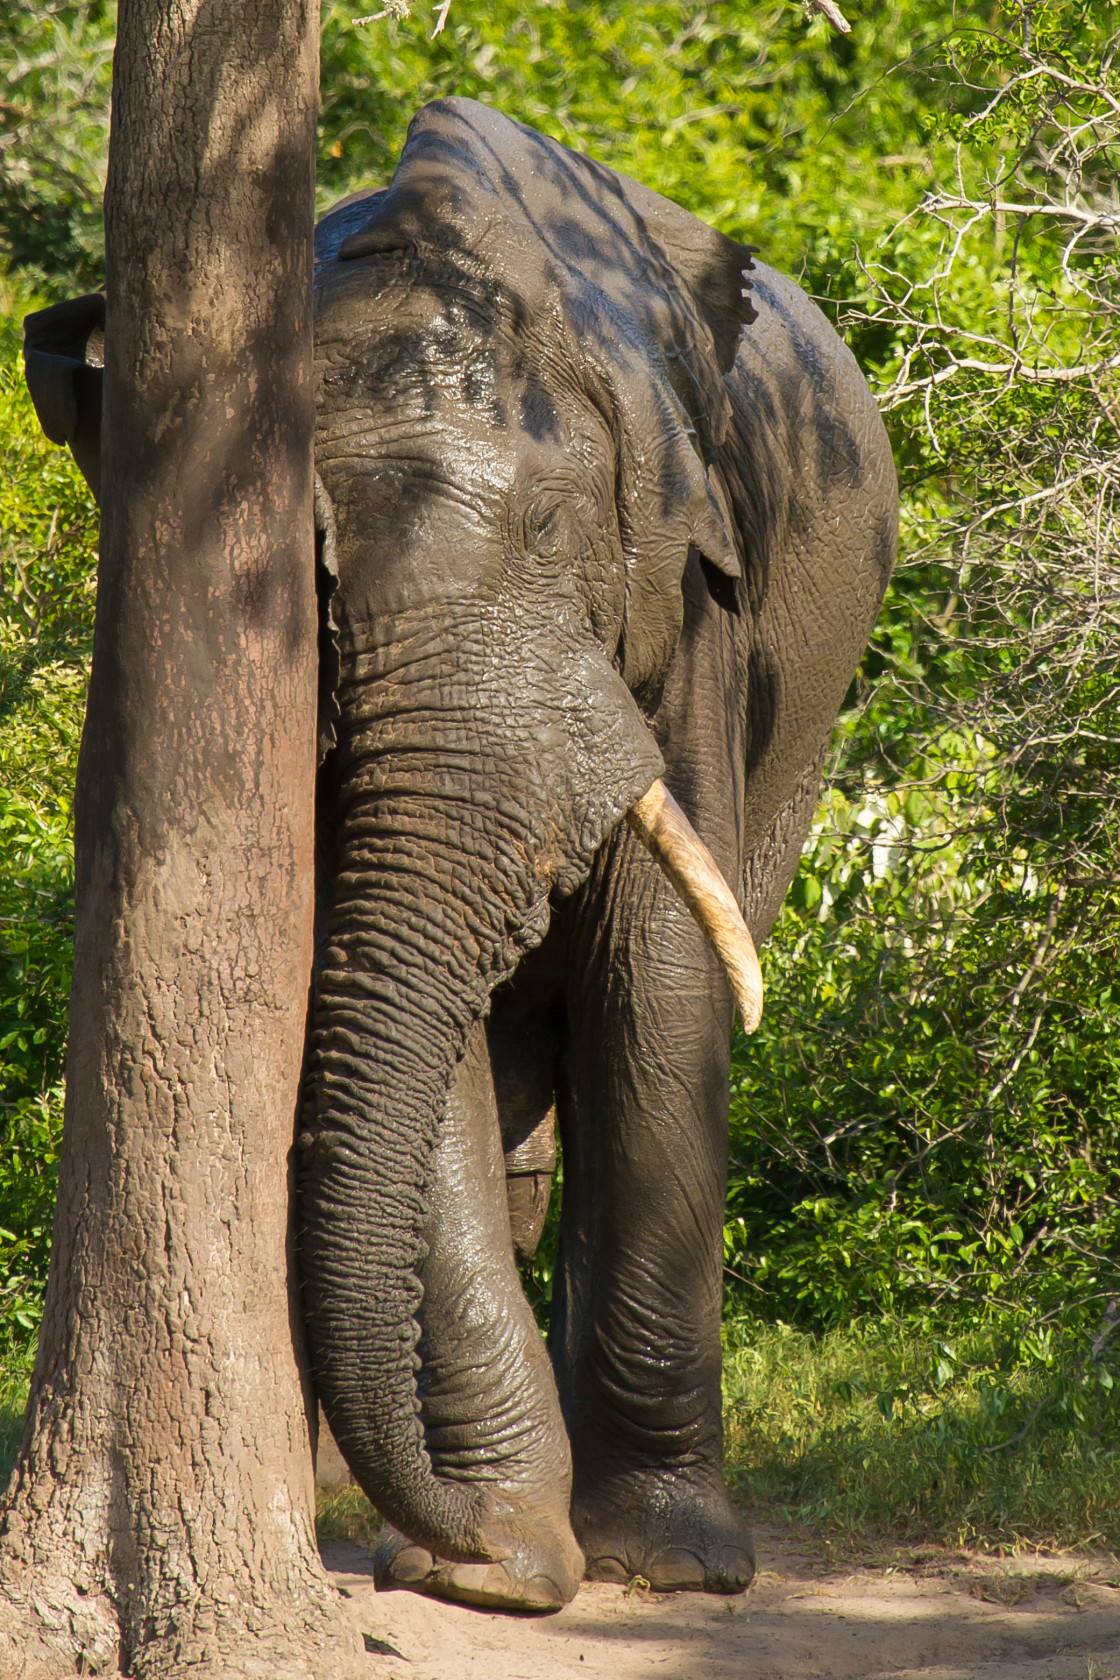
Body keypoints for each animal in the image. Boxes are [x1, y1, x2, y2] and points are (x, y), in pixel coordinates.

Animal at [21, 98, 900, 1619]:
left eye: (555, 531)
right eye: (310, 571)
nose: (455, 1544)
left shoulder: (693, 590)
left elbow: (660, 970)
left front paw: (665, 1565)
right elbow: (391, 998)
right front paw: (491, 1562)